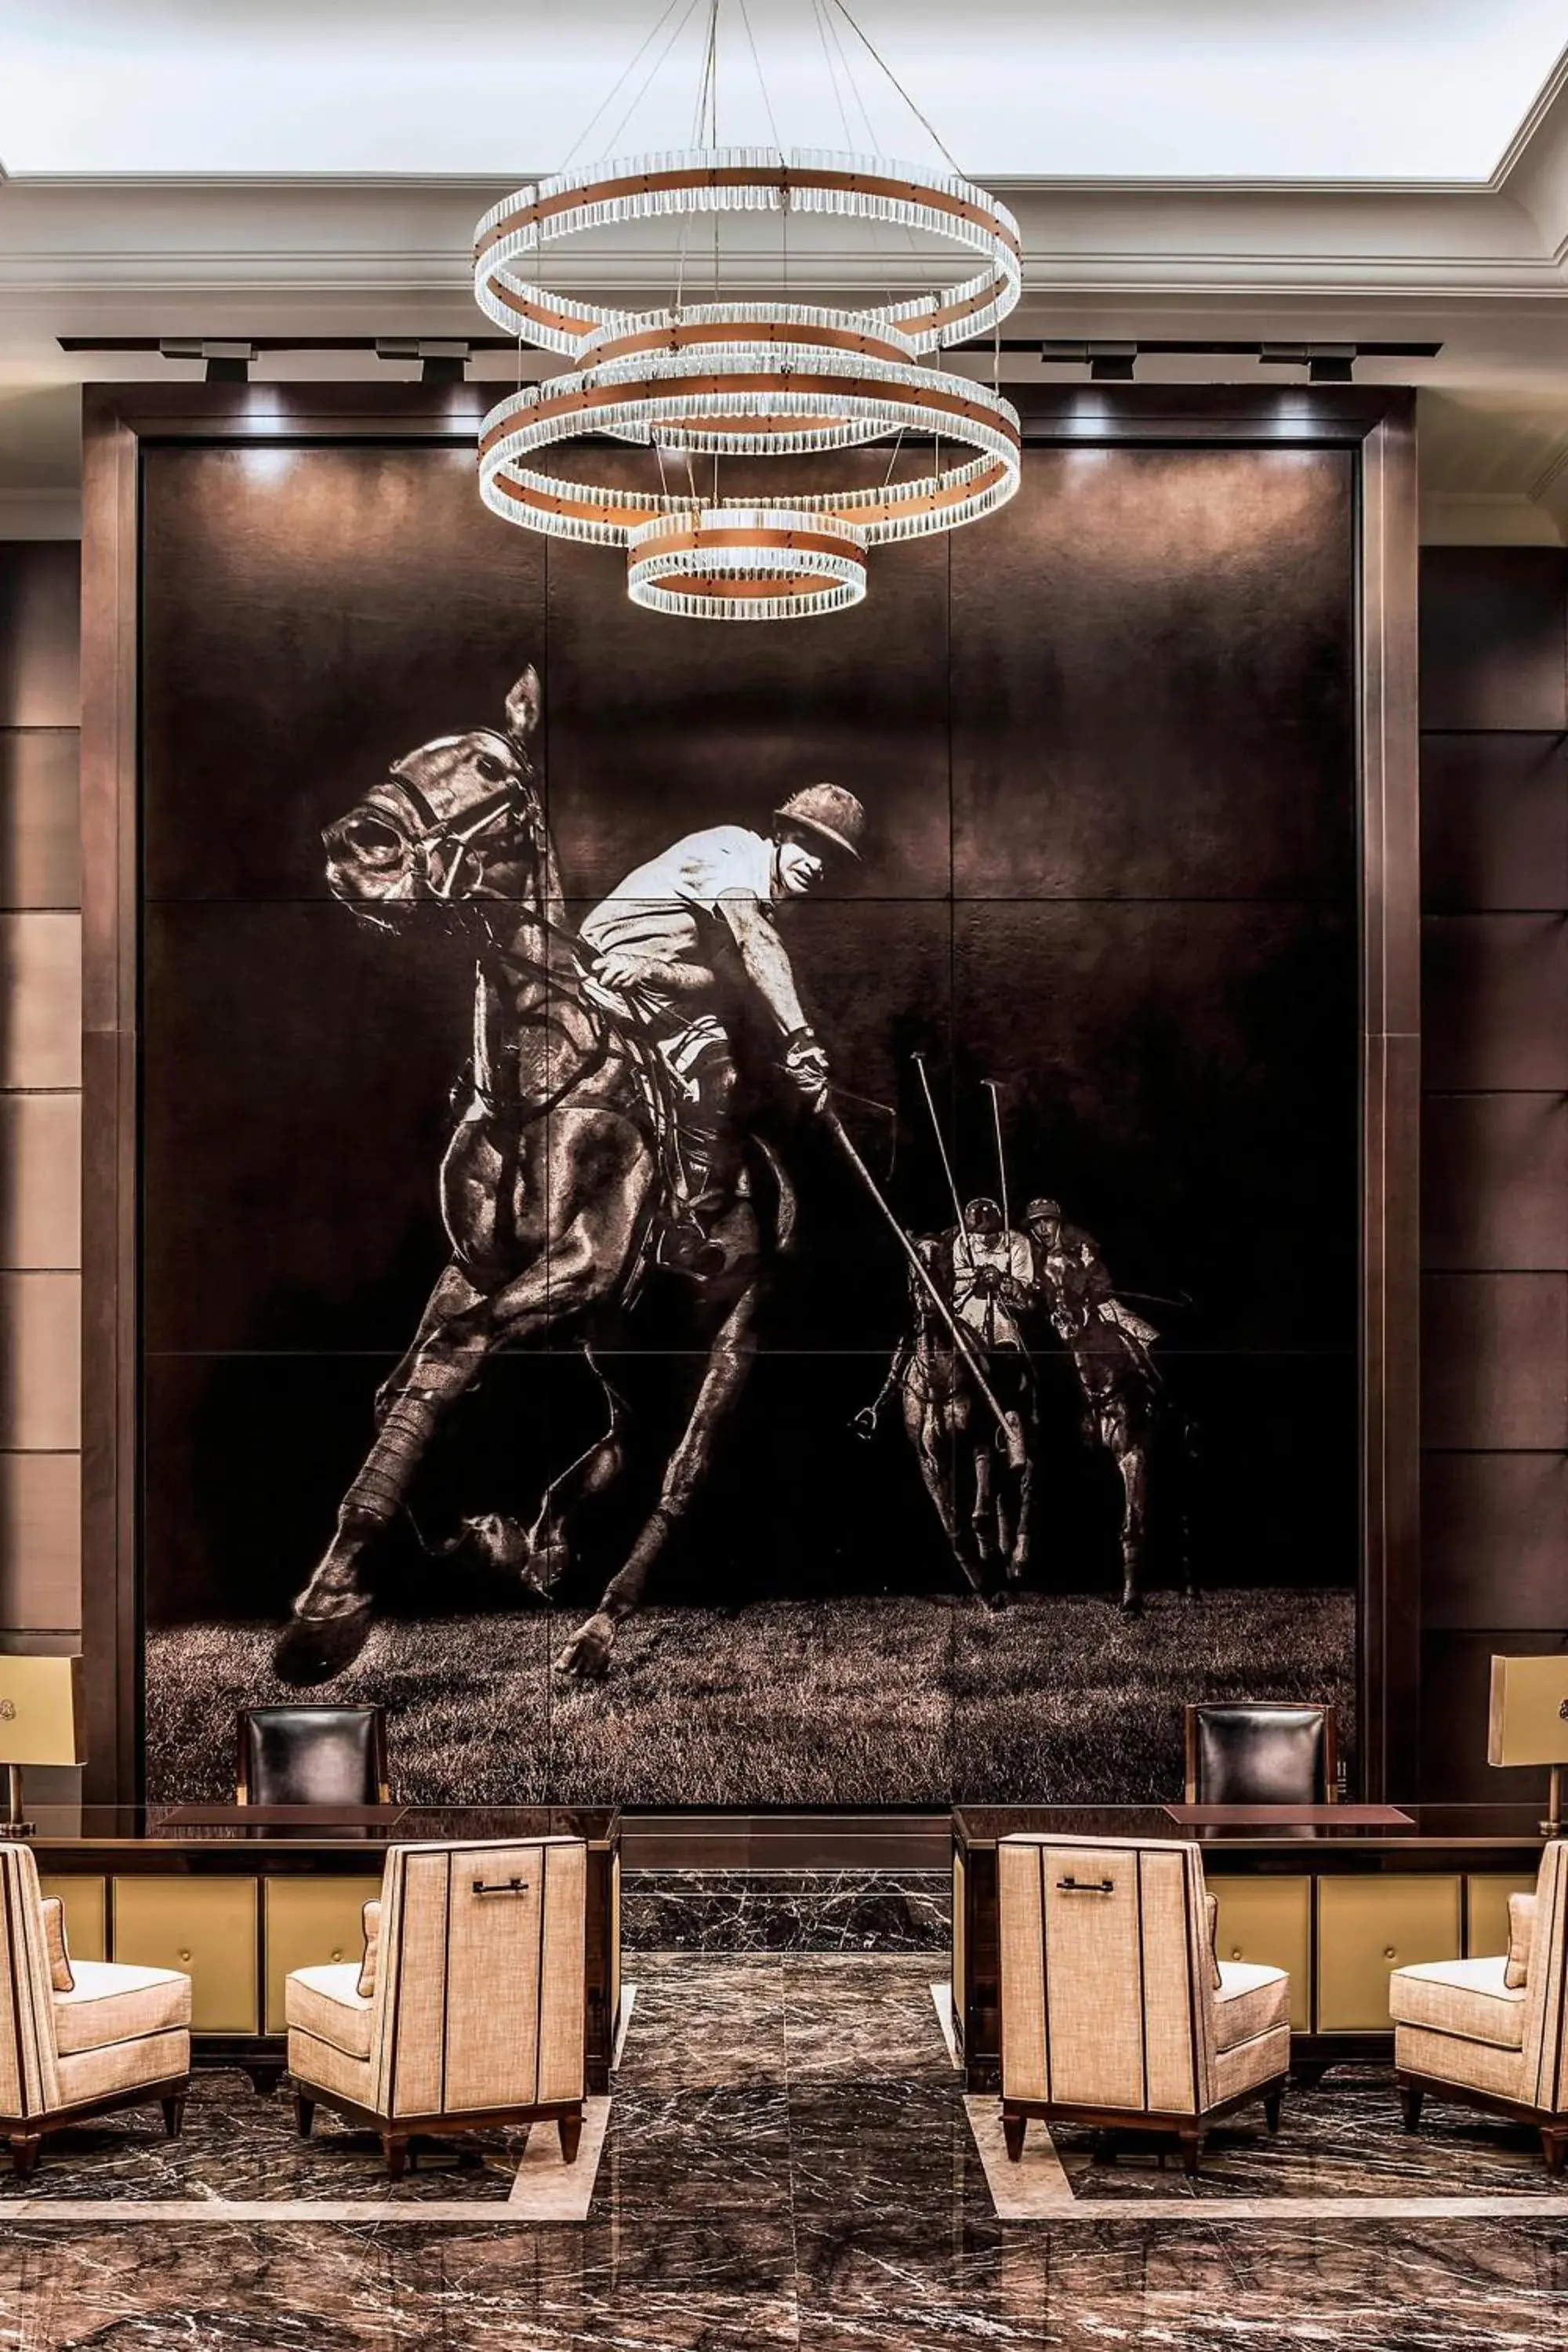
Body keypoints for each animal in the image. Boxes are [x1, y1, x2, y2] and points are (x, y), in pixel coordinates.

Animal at [270, 673, 789, 1684]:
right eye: (407, 754)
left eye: (489, 765)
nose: (360, 846)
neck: (533, 1083)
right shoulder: (480, 1267)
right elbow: (407, 1382)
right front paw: (486, 1539)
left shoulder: (582, 1262)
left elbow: (450, 1354)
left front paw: (326, 1613)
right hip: (620, 1337)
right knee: (625, 1437)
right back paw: (549, 1545)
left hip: (732, 1331)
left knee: (680, 1471)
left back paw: (598, 1630)